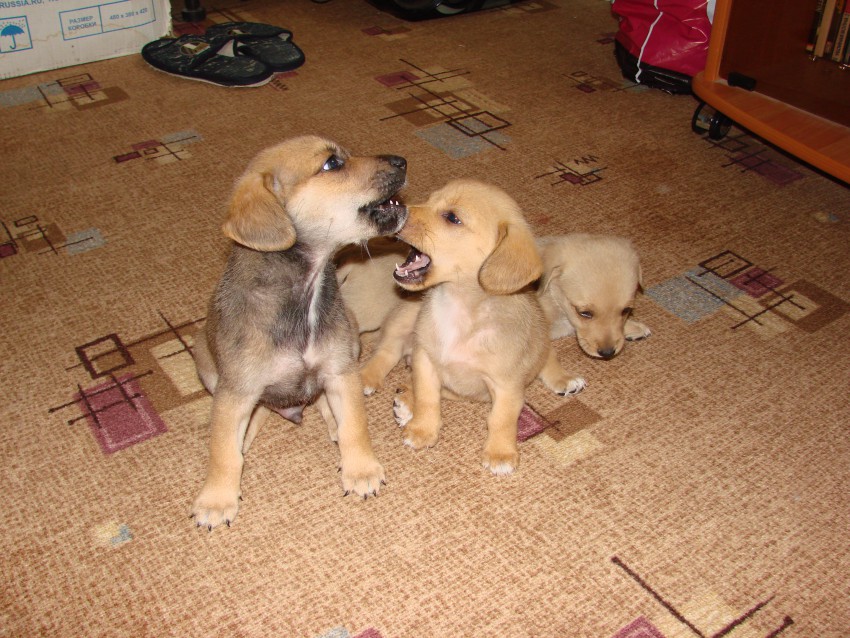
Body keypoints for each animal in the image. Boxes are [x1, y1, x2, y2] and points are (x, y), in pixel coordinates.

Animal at [190, 135, 408, 530]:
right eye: (332, 163)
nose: (402, 161)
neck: (303, 297)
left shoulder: (339, 370)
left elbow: (355, 424)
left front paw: (360, 468)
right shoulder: (236, 390)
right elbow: (223, 451)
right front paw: (216, 499)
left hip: (351, 337)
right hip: (205, 358)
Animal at [387, 179, 580, 475]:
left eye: (452, 218)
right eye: (429, 199)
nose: (395, 208)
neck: (459, 309)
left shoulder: (506, 386)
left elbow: (501, 420)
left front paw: (500, 453)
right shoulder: (426, 360)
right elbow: (428, 398)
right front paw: (423, 429)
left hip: (539, 349)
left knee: (549, 356)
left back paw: (564, 379)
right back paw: (408, 401)